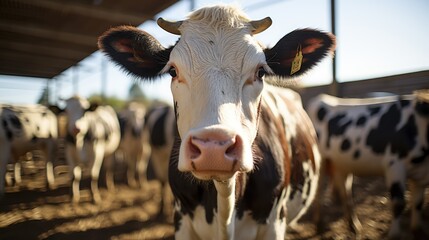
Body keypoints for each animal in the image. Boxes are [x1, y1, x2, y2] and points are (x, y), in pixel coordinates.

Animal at [306, 90, 428, 238]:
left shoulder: (421, 173)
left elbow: (418, 203)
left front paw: (418, 231)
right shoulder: (395, 166)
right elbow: (398, 203)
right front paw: (394, 234)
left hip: (341, 163)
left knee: (345, 191)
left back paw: (353, 226)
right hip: (320, 160)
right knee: (318, 190)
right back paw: (319, 225)